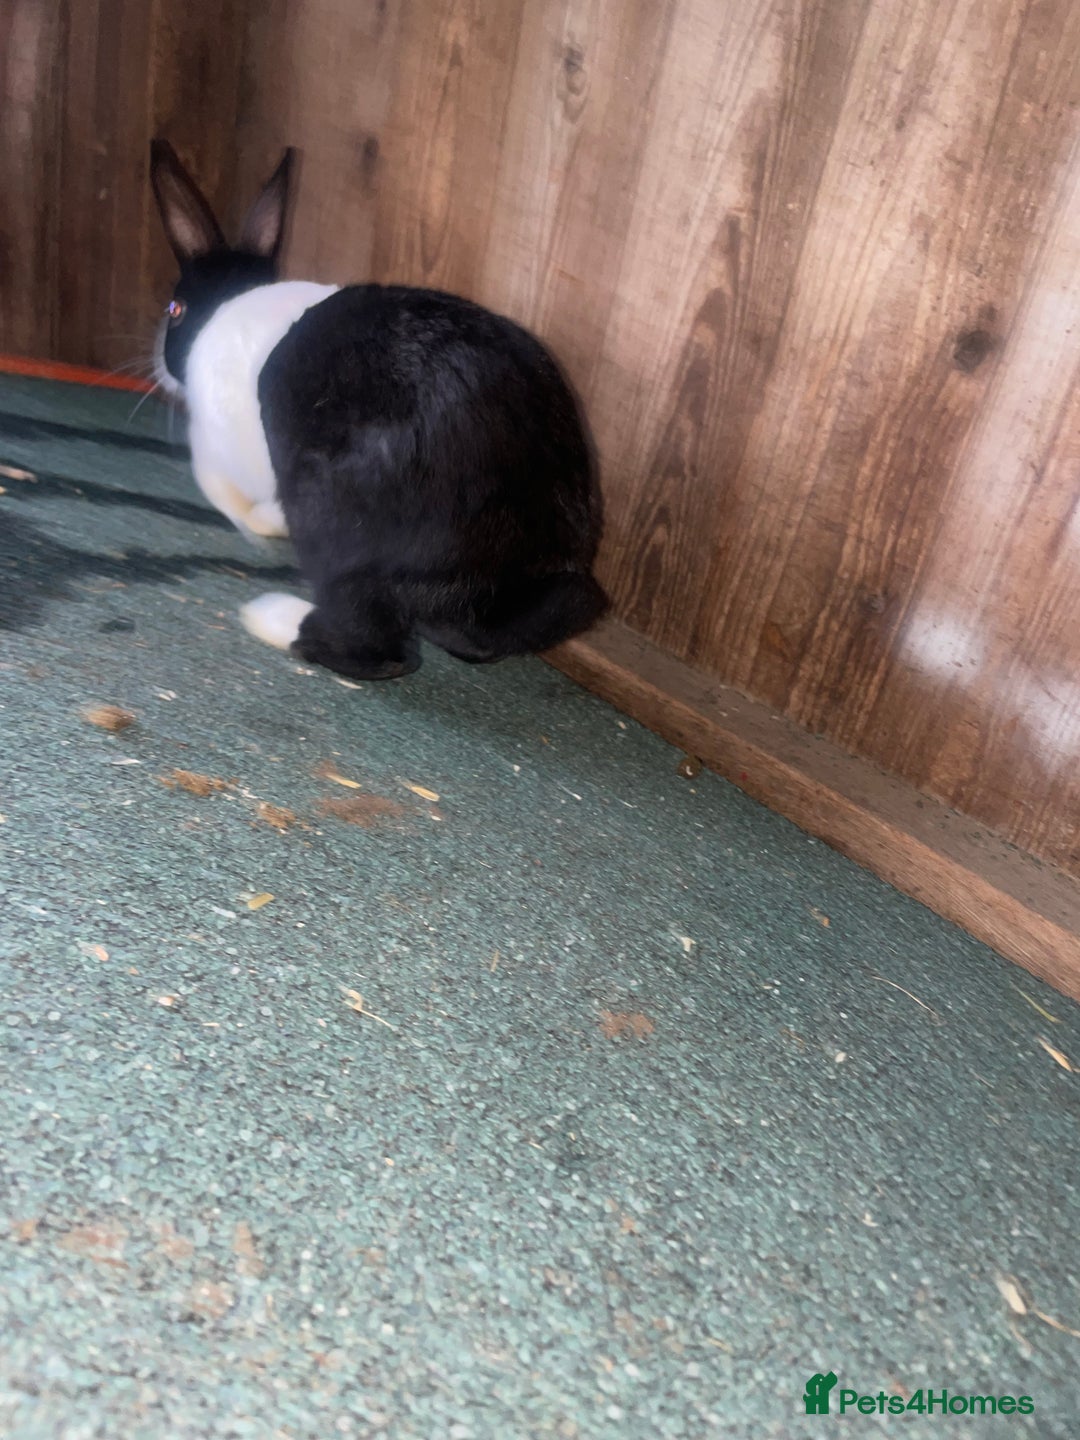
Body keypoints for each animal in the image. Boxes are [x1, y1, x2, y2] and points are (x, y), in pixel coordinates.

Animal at [150, 140, 608, 680]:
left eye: (174, 310)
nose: (159, 362)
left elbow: (230, 497)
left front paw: (258, 526)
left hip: (329, 507)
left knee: (378, 648)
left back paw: (273, 618)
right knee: (477, 639)